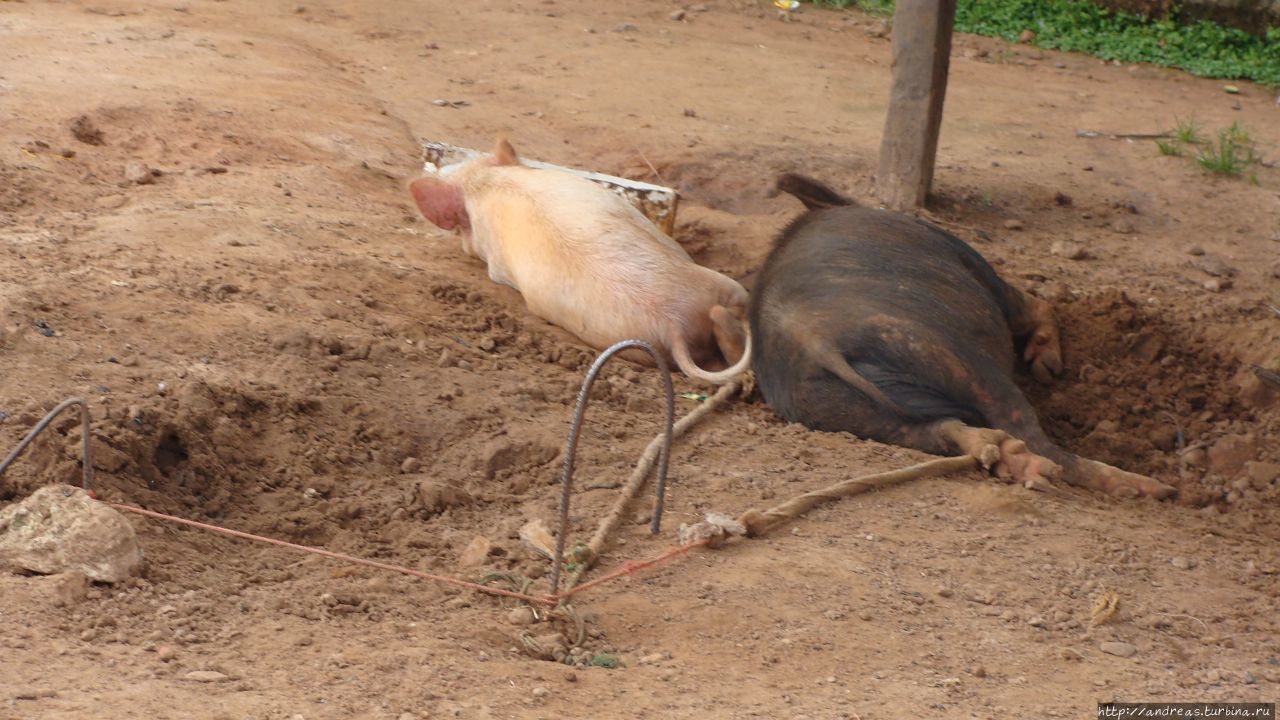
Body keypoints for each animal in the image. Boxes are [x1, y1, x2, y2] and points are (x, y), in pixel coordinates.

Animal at [747, 175, 1177, 499]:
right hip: (948, 354)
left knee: (942, 430)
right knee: (1028, 429)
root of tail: (814, 341)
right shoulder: (980, 271)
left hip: (841, 410)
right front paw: (1048, 368)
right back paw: (1151, 489)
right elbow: (1034, 305)